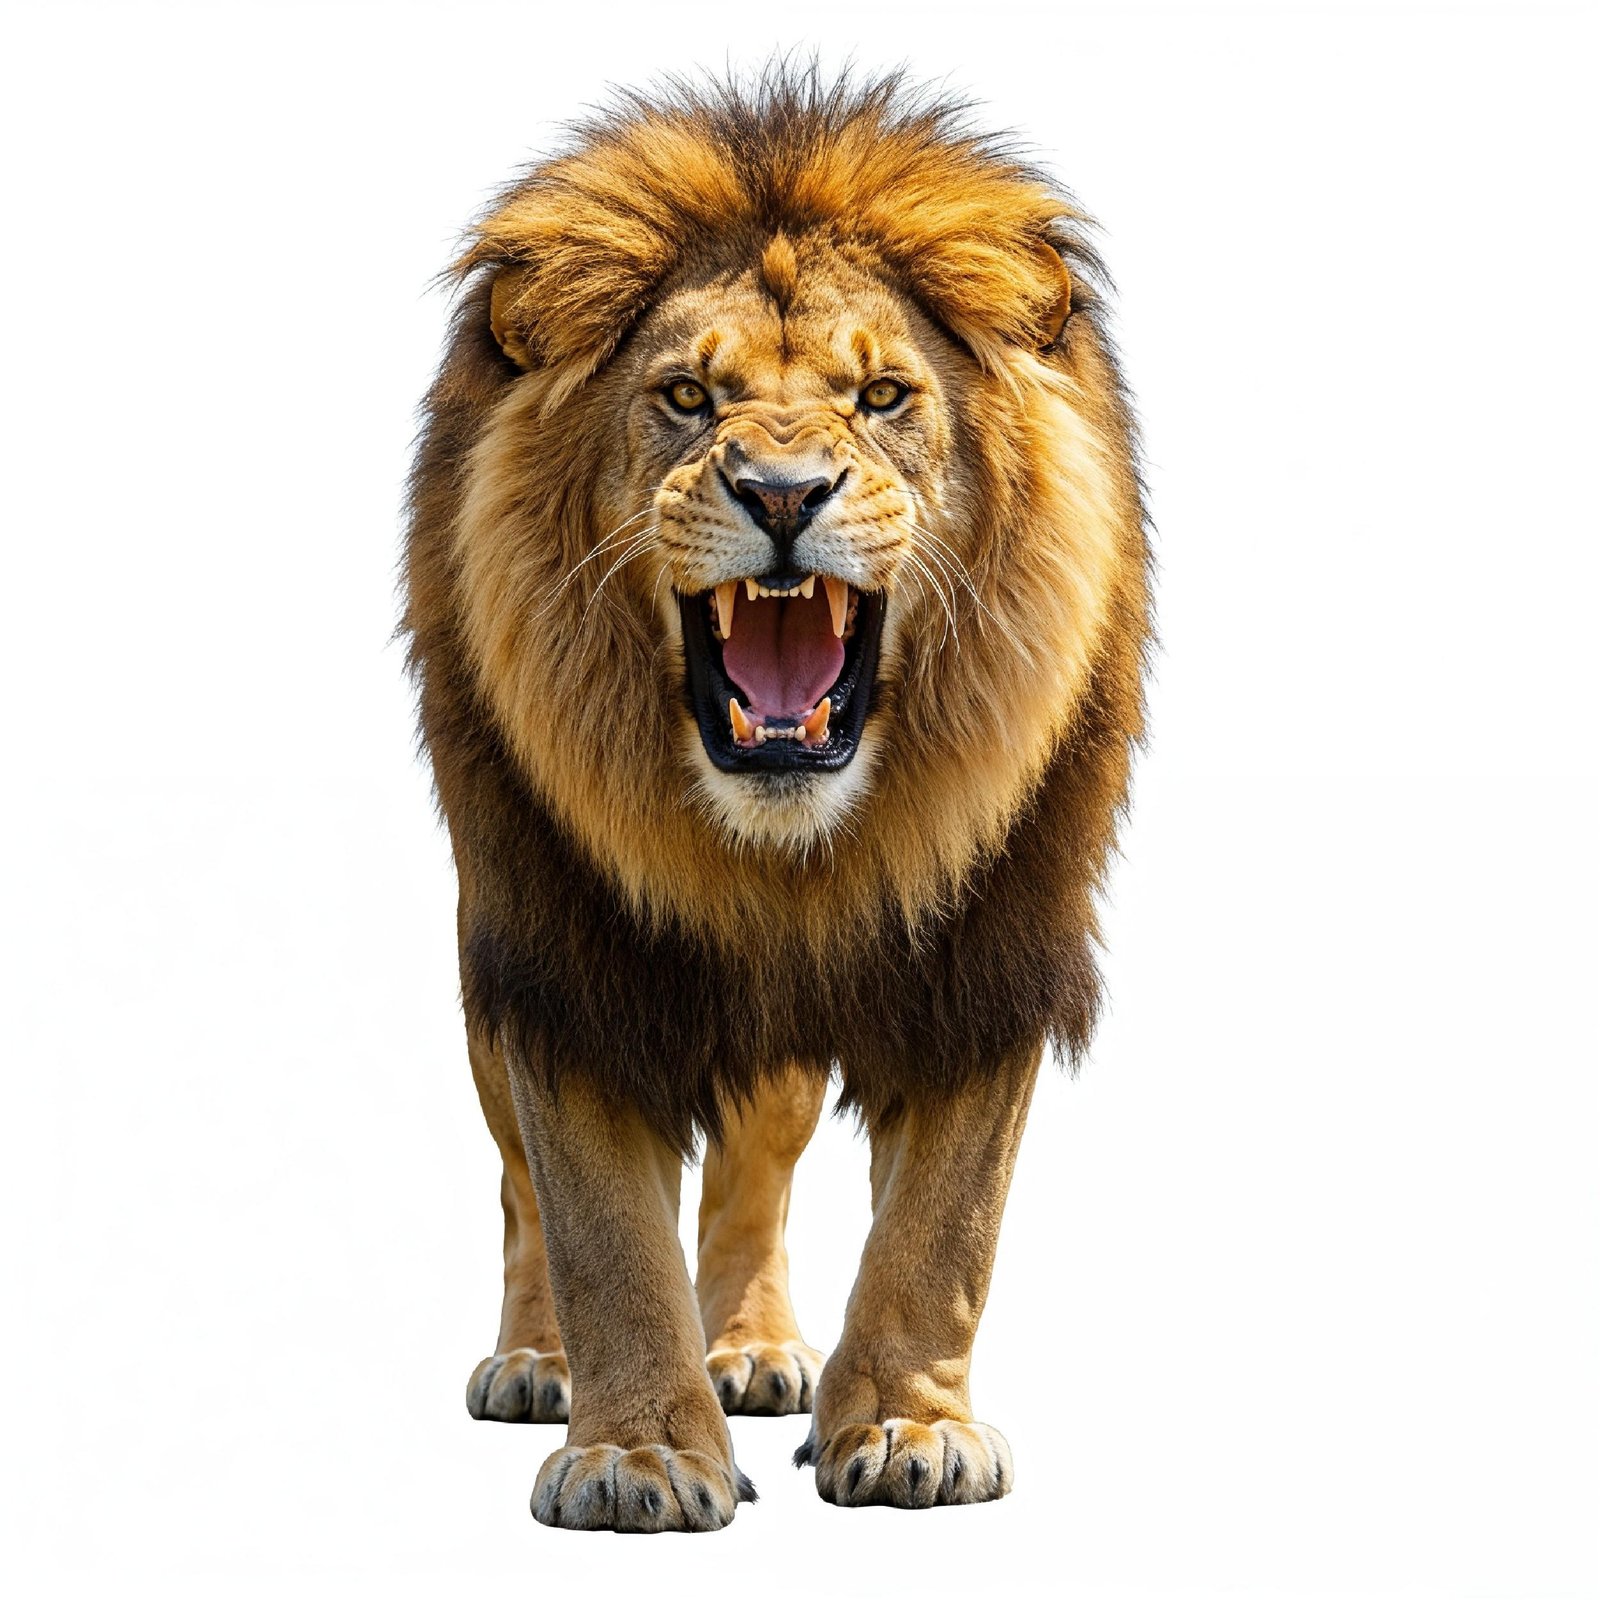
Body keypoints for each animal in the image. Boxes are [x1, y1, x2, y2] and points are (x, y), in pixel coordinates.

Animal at [405, 67, 1149, 1531]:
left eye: (883, 395)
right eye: (689, 396)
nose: (785, 491)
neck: (780, 856)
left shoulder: (992, 954)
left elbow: (943, 1228)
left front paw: (912, 1428)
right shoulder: (566, 960)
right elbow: (596, 1230)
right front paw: (636, 1453)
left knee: (755, 1172)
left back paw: (750, 1349)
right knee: (520, 1192)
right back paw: (537, 1361)